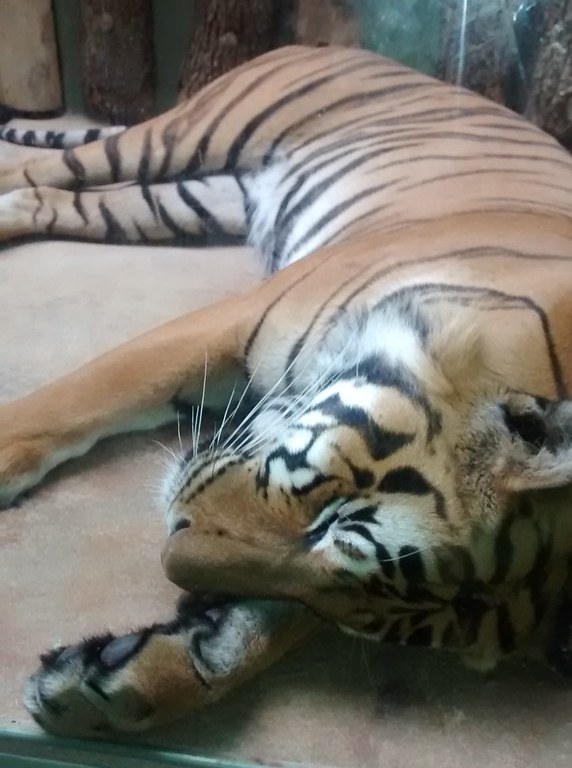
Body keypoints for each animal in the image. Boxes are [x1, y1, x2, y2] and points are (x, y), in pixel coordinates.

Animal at [1, 44, 572, 737]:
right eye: (329, 517)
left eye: (348, 608)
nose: (171, 566)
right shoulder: (232, 319)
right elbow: (84, 393)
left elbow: (266, 627)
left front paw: (123, 681)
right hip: (183, 136)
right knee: (37, 166)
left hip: (192, 199)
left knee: (39, 198)